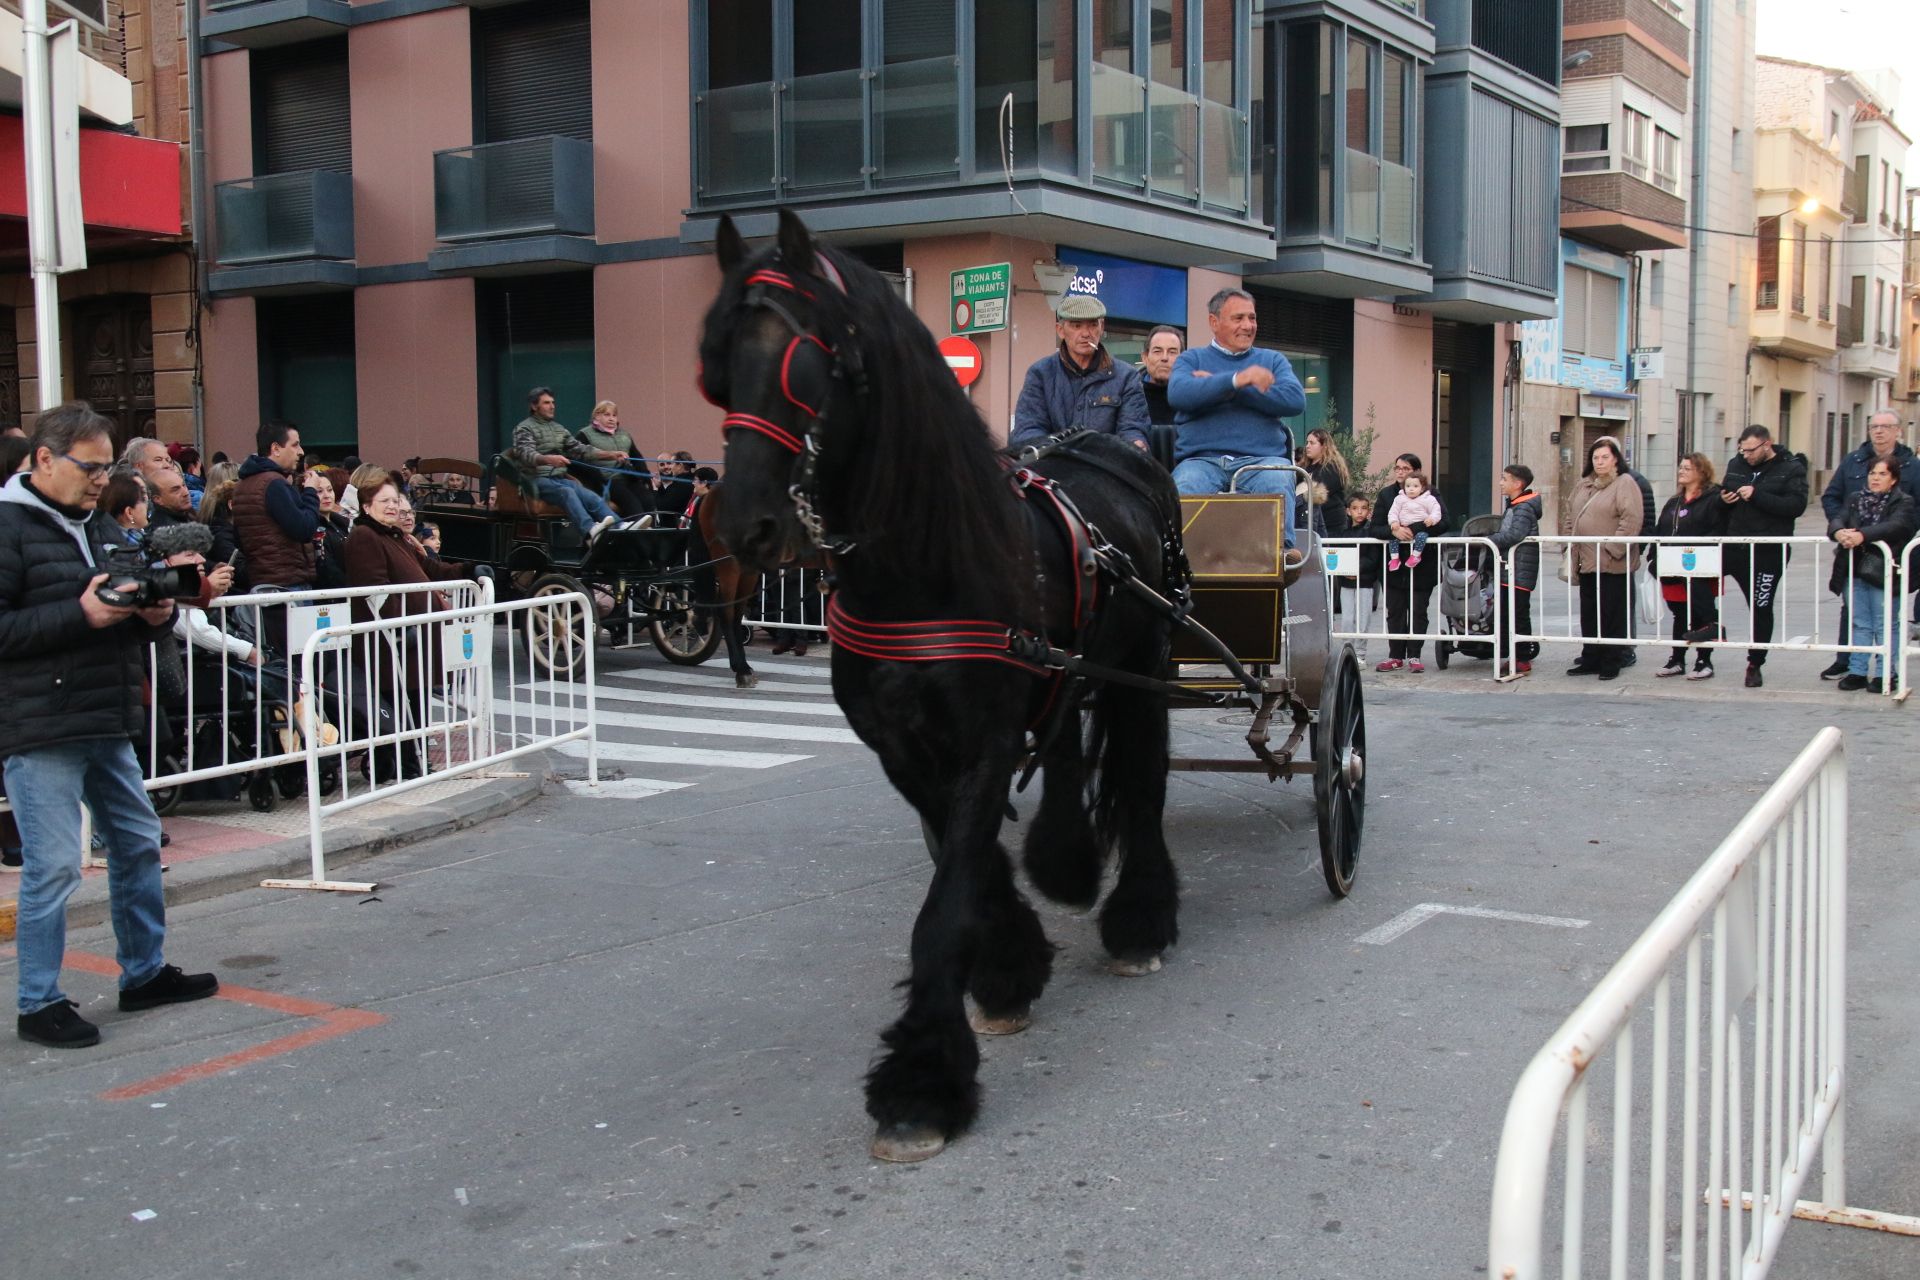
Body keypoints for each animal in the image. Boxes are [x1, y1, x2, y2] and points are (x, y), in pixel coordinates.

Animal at [706, 214, 1182, 1166]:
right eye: (719, 366)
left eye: (804, 363)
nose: (746, 526)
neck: (922, 568)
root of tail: (1119, 453)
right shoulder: (902, 750)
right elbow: (966, 868)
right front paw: (1006, 969)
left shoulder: (984, 744)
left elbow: (946, 895)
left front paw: (922, 1082)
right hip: (1069, 670)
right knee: (1068, 755)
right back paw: (1067, 864)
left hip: (1142, 664)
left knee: (1143, 779)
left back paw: (1138, 920)